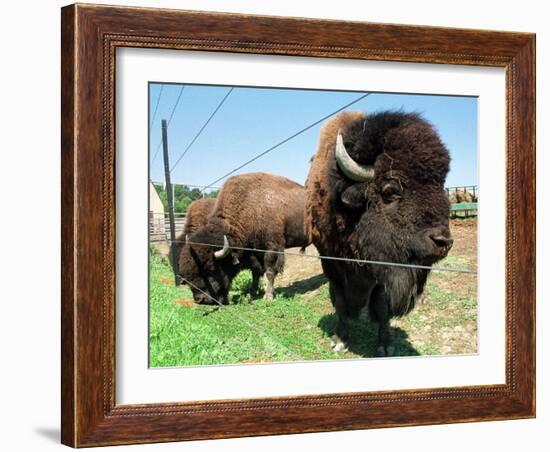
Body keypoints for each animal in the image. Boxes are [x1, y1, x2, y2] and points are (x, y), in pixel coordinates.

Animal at [177, 171, 310, 306]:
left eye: (210, 270)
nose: (200, 300)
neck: (251, 205)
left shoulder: (273, 247)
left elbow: (269, 272)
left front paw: (268, 296)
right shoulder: (255, 253)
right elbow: (256, 273)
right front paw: (253, 292)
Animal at [306, 110, 452, 356]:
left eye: (440, 187)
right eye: (390, 191)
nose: (443, 241)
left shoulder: (381, 273)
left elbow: (382, 307)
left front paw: (386, 344)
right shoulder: (330, 263)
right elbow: (341, 303)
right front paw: (340, 340)